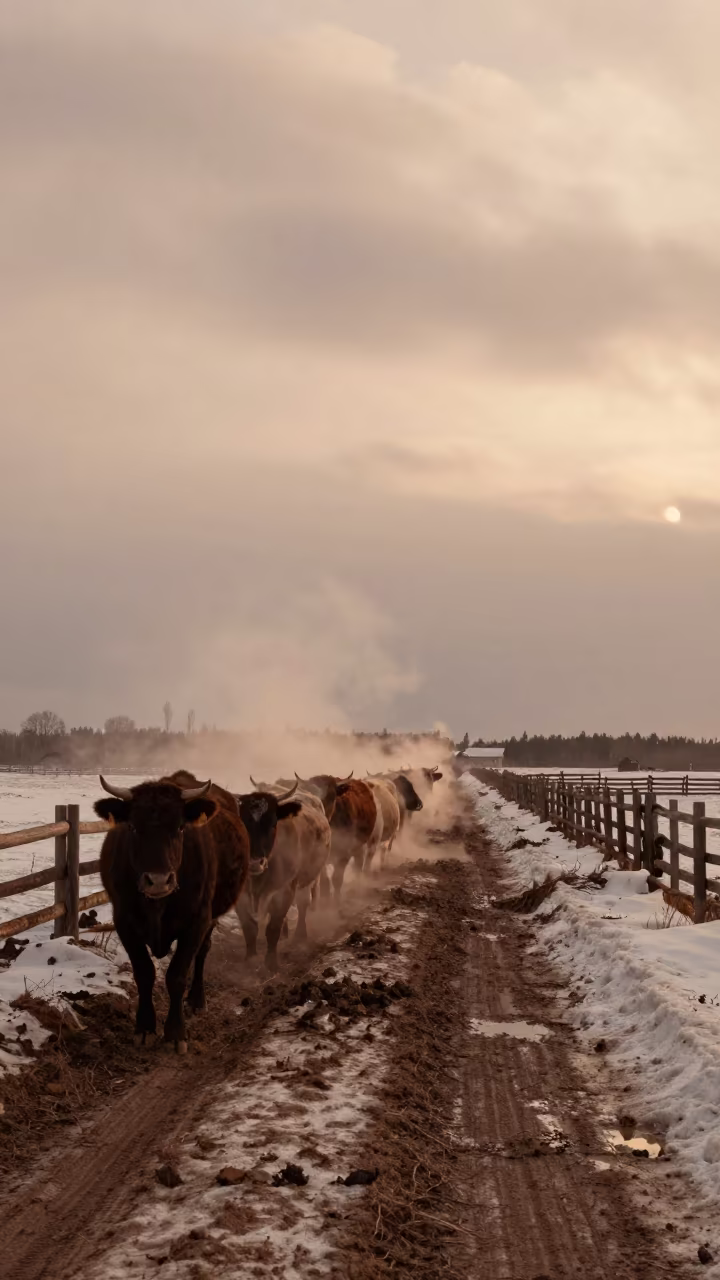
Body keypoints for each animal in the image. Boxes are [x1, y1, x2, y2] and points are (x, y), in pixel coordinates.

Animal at [94, 771, 250, 1053]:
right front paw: (144, 1027)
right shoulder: (124, 922)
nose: (158, 881)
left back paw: (197, 999)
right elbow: (144, 973)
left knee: (203, 952)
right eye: (133, 827)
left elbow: (176, 975)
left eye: (179, 827)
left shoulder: (197, 921)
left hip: (212, 917)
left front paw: (176, 1032)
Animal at [238, 779, 331, 970]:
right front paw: (250, 958)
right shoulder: (241, 894)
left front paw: (271, 962)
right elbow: (249, 927)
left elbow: (273, 927)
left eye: (273, 823)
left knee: (303, 903)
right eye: (243, 824)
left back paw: (299, 936)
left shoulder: (284, 890)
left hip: (308, 878)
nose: (254, 862)